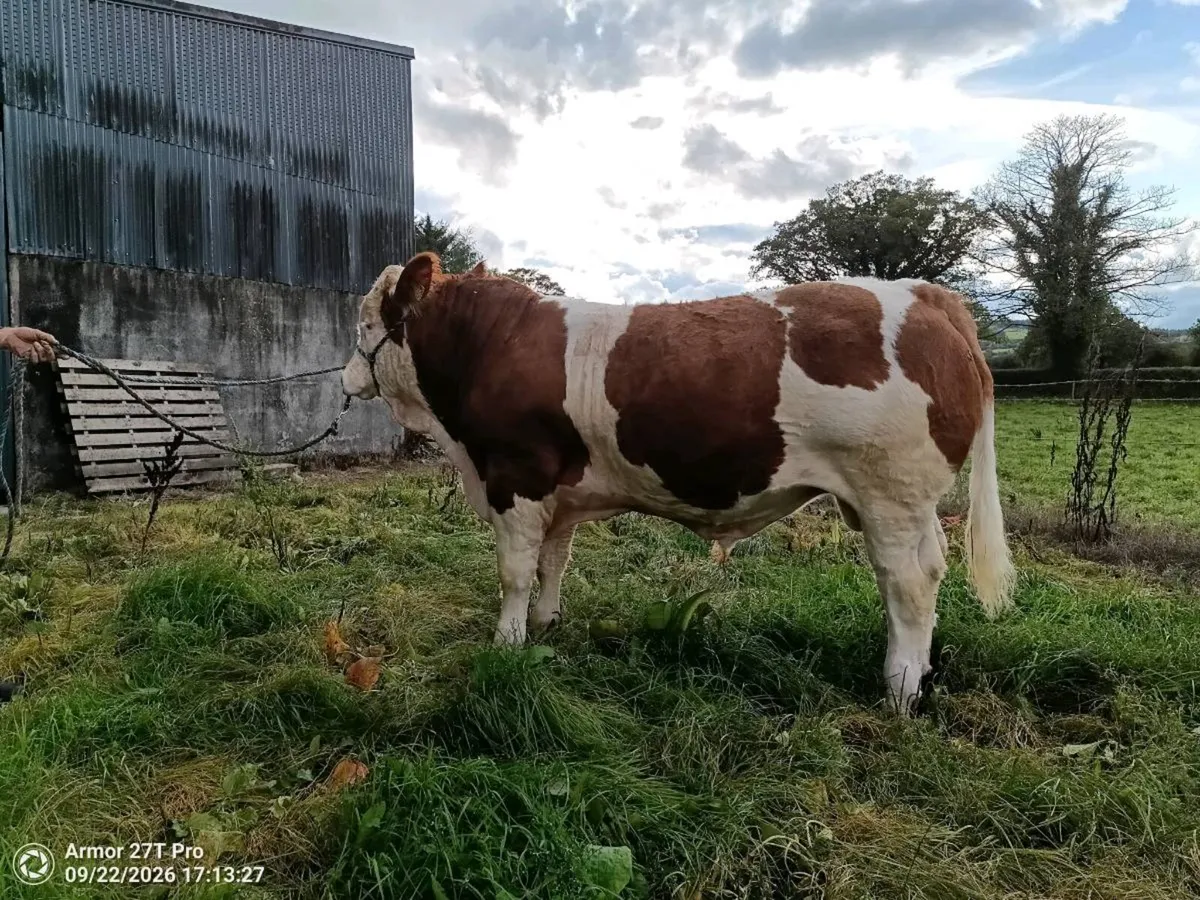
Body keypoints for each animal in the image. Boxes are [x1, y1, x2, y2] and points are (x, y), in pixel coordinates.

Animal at [341, 251, 1017, 715]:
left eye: (365, 323)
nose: (346, 377)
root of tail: (923, 293)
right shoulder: (558, 492)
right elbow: (553, 561)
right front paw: (545, 625)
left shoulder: (515, 475)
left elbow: (514, 572)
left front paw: (505, 643)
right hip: (904, 503)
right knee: (930, 568)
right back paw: (919, 676)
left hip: (889, 496)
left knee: (908, 582)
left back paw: (899, 690)